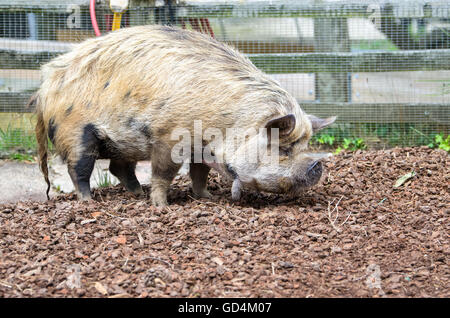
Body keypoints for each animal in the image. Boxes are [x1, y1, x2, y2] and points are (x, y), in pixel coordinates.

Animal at [33, 24, 336, 206]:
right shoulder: (168, 137)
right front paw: (161, 205)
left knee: (119, 167)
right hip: (76, 132)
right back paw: (89, 201)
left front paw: (207, 197)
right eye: (283, 149)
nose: (317, 165)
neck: (227, 125)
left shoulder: (201, 149)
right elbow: (164, 173)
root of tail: (45, 87)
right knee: (79, 169)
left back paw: (136, 193)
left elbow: (199, 173)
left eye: (305, 146)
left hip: (124, 141)